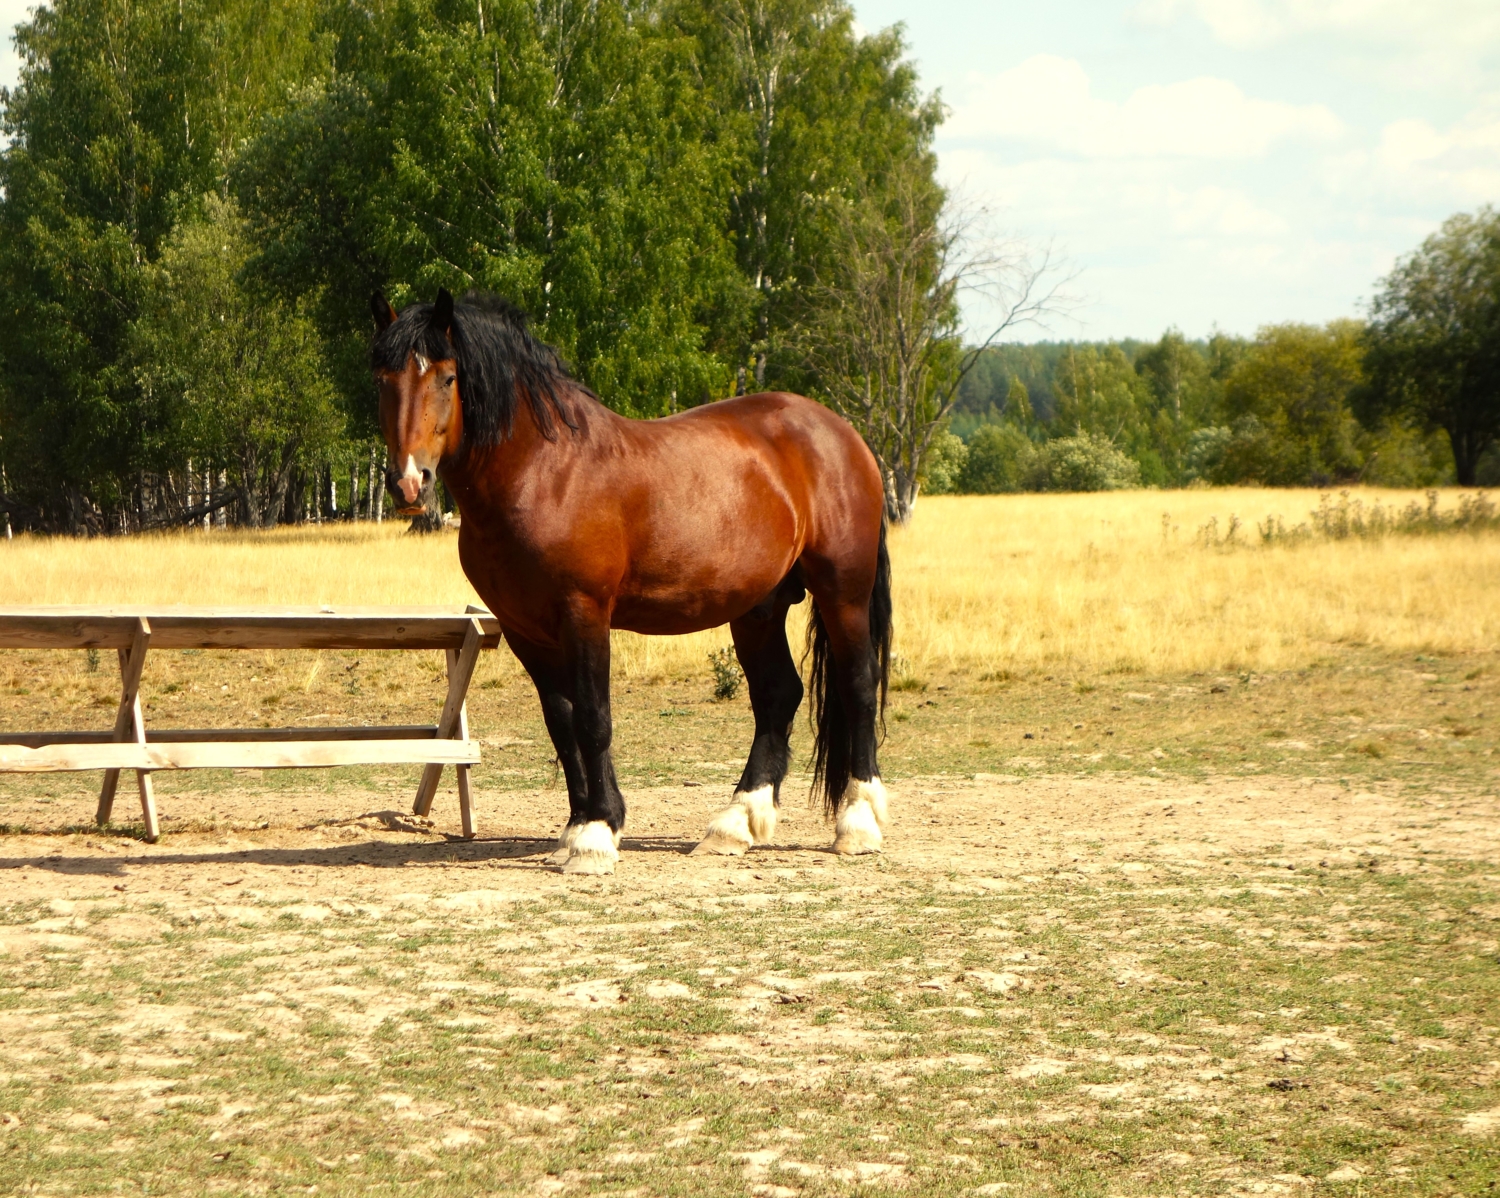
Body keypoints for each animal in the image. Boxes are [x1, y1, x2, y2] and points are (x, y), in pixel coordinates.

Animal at [373, 286, 882, 875]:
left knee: (858, 686)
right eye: (383, 378)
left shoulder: (584, 613)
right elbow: (562, 721)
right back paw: (735, 824)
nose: (409, 482)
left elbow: (594, 719)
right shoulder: (525, 630)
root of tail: (841, 433)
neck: (543, 472)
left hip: (844, 592)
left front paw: (596, 836)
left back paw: (858, 823)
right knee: (778, 694)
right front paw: (579, 827)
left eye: (448, 377)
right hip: (758, 608)